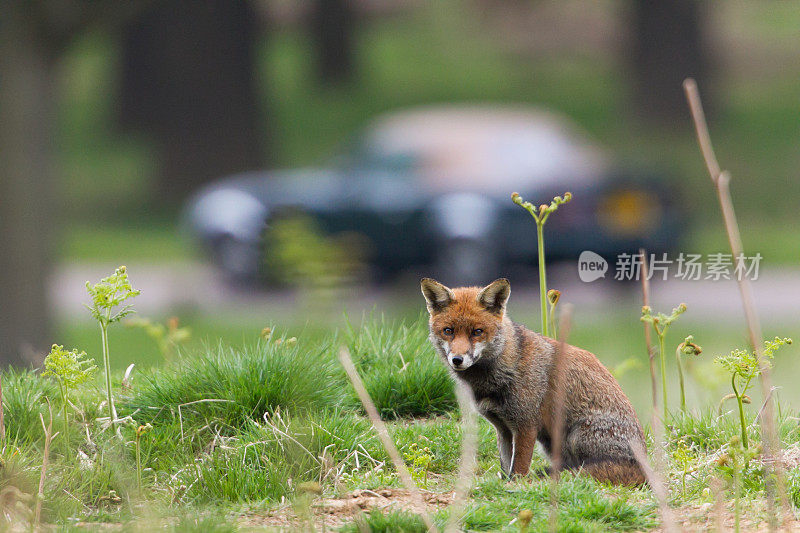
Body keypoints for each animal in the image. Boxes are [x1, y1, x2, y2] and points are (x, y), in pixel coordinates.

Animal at [422, 276, 648, 484]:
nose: (457, 360)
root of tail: (645, 468)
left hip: (575, 435)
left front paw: (515, 487)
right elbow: (506, 465)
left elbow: (519, 469)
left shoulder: (526, 425)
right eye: (448, 331)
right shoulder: (503, 428)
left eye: (477, 332)